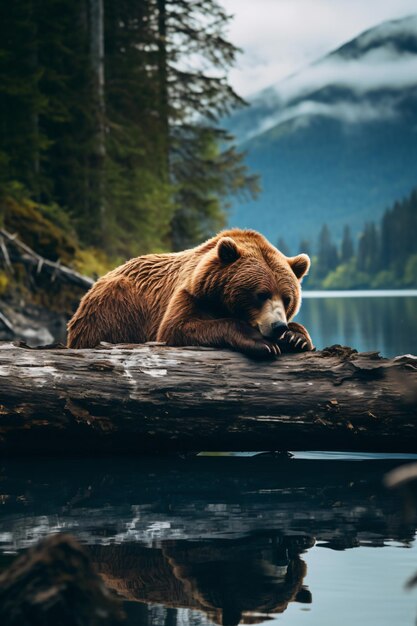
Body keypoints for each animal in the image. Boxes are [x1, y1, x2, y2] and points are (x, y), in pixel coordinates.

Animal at [66, 228, 312, 356]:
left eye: (287, 299)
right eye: (261, 294)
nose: (278, 326)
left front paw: (296, 337)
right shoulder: (190, 294)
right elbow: (177, 327)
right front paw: (262, 342)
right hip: (114, 305)